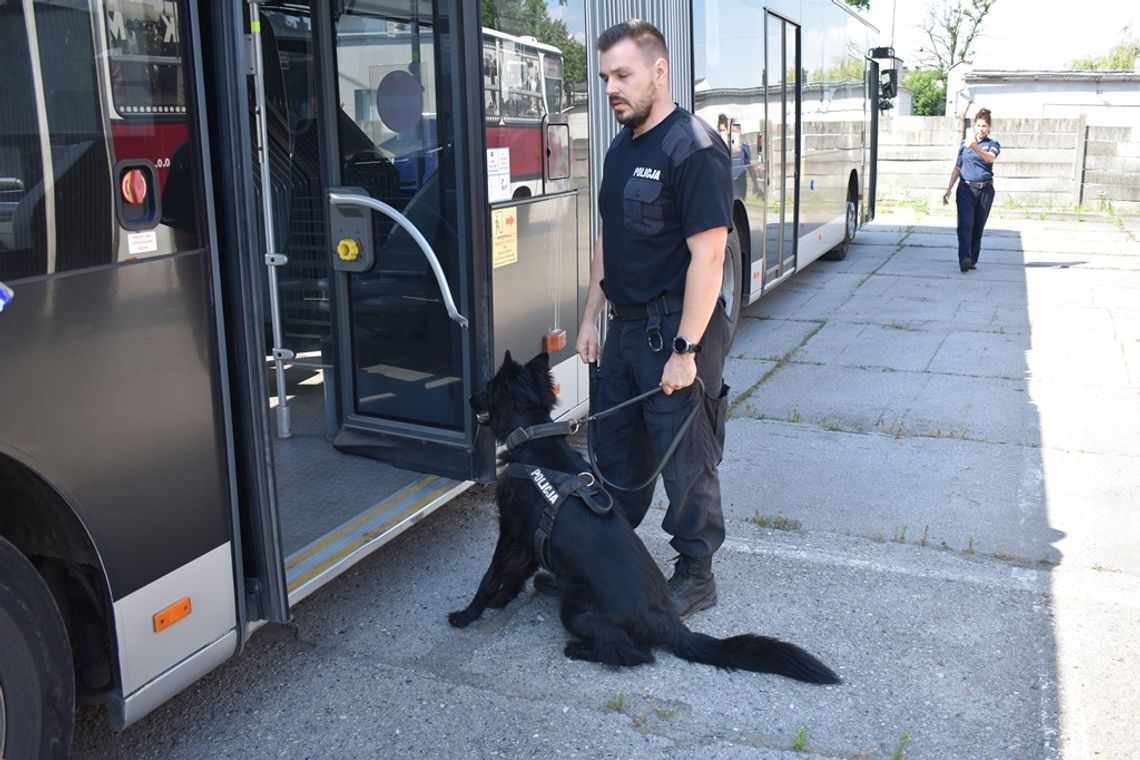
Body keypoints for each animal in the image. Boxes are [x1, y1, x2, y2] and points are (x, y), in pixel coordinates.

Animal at [449, 353, 843, 688]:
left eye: (486, 387)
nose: (467, 398)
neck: (532, 438)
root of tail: (668, 620)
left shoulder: (511, 531)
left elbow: (490, 577)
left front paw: (468, 614)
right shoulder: (530, 538)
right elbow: (515, 575)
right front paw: (503, 601)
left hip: (578, 612)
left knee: (636, 655)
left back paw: (578, 649)